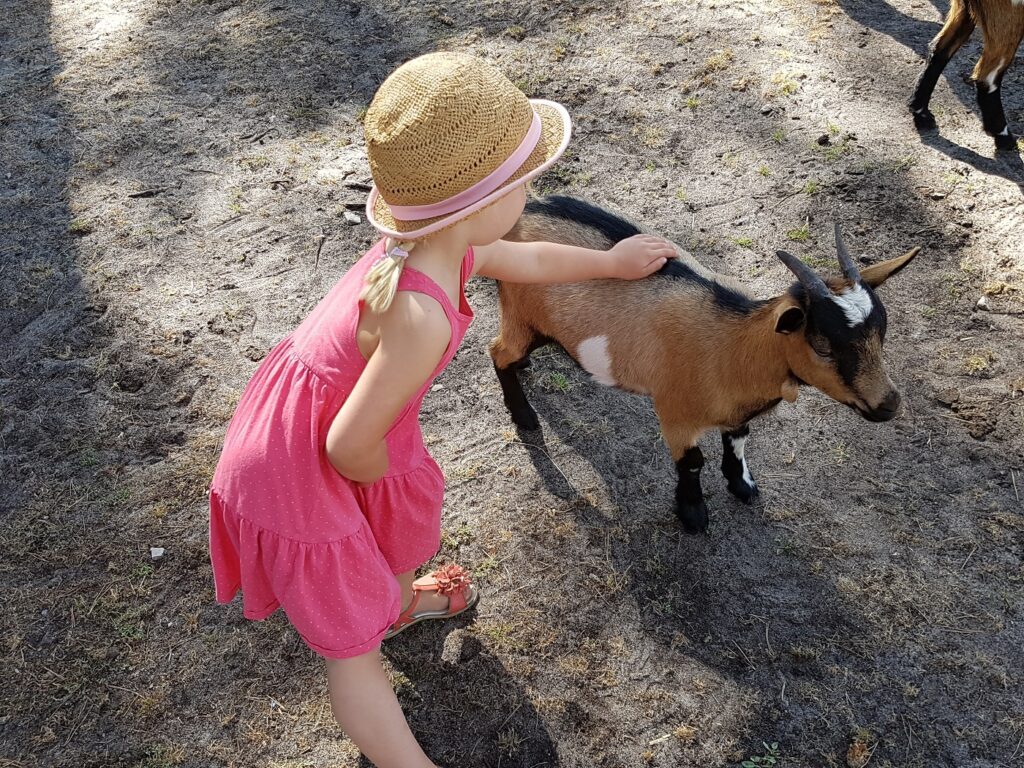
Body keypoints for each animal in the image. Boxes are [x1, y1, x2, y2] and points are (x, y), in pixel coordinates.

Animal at [489, 198, 921, 532]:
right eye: (822, 346)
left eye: (882, 332)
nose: (889, 404)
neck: (734, 345)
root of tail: (526, 211)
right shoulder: (674, 413)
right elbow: (693, 462)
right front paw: (693, 513)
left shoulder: (737, 410)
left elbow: (739, 439)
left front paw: (742, 484)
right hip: (521, 316)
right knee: (497, 352)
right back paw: (524, 415)